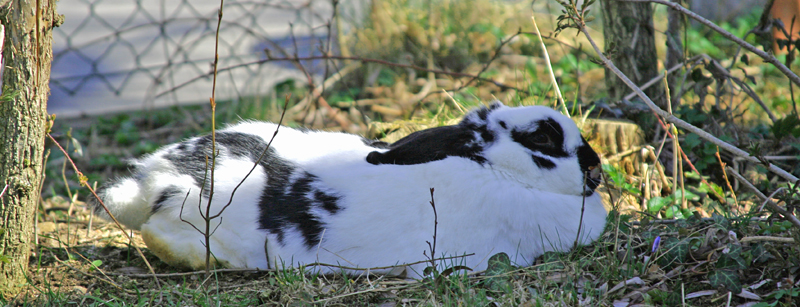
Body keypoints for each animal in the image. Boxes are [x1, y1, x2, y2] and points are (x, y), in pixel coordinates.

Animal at [94, 101, 608, 276]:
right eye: (543, 140)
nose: (597, 170)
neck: (492, 168)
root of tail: (155, 178)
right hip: (196, 216)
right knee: (161, 234)